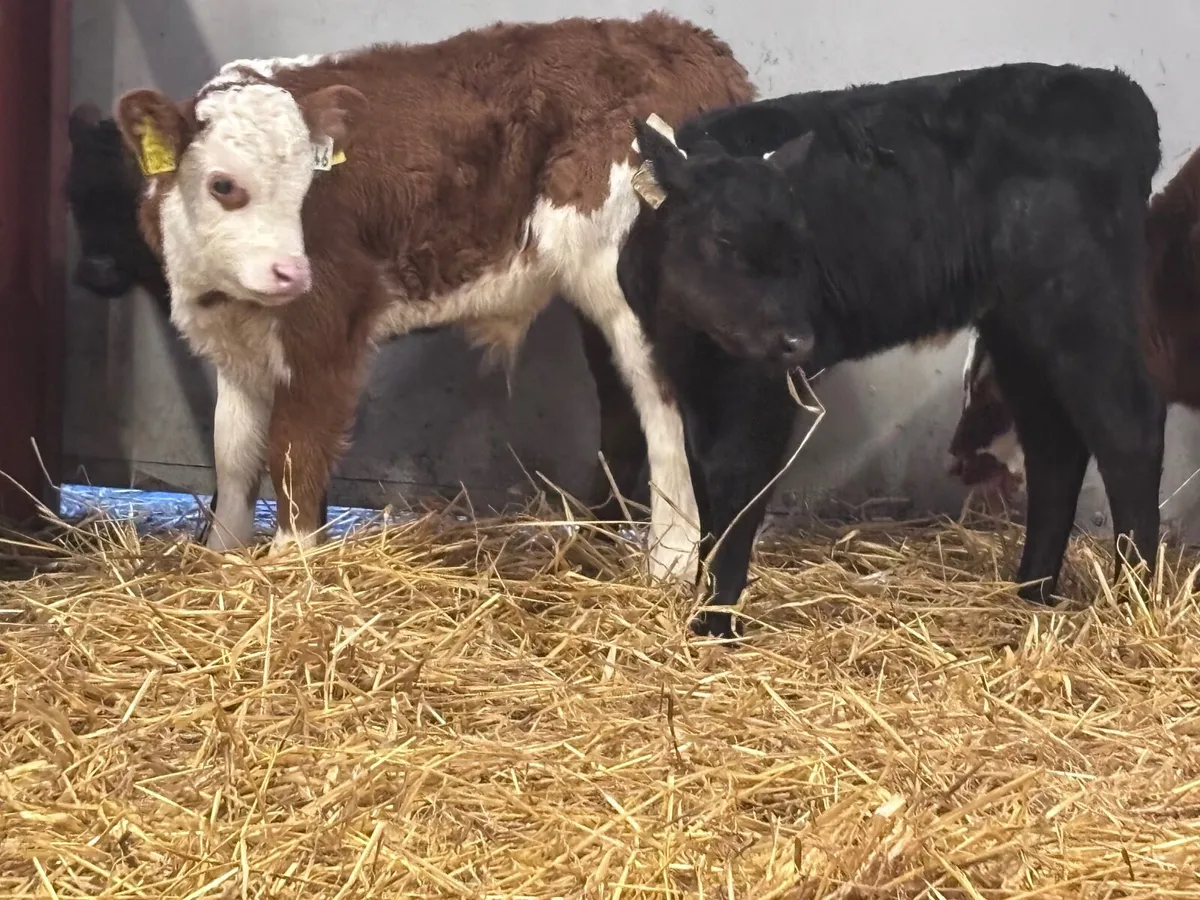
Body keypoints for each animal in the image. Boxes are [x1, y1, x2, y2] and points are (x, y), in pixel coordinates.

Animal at [619, 62, 1165, 638]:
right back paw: (1032, 590)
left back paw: (1134, 596)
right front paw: (700, 598)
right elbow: (705, 481)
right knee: (1053, 444)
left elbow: (738, 483)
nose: (800, 339)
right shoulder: (692, 379)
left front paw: (715, 619)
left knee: (1128, 427)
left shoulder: (761, 387)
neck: (691, 334)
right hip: (1017, 326)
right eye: (723, 240)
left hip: (1084, 300)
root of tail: (1119, 91)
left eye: (802, 246)